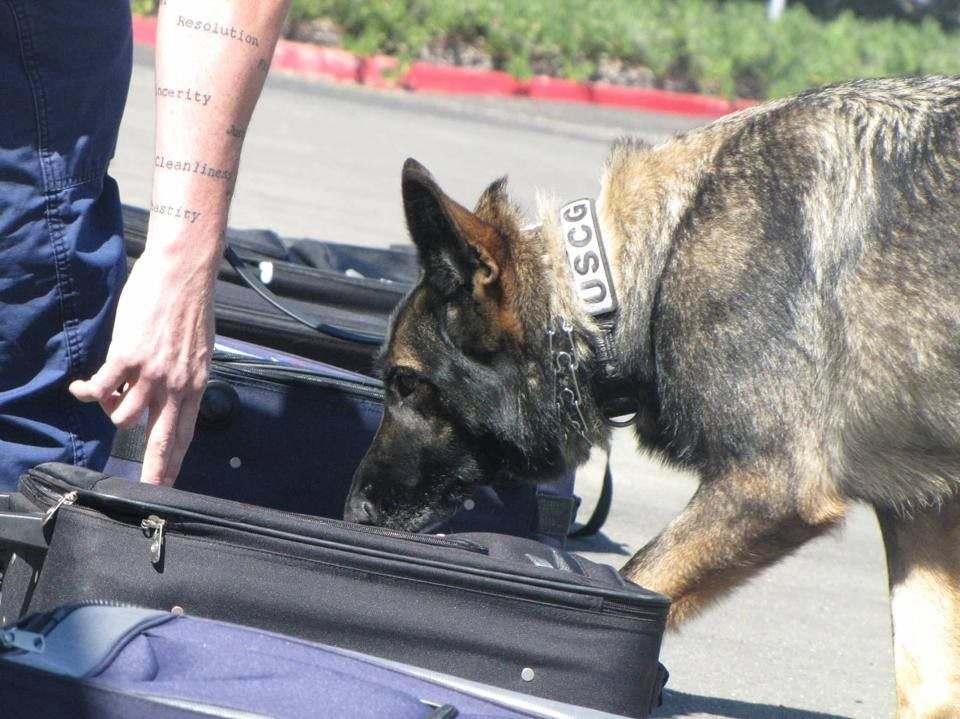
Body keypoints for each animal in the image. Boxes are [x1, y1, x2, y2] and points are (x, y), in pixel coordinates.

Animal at [348, 76, 960, 716]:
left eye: (406, 383)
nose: (353, 512)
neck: (631, 280)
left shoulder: (769, 486)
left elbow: (634, 586)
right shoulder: (921, 508)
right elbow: (929, 683)